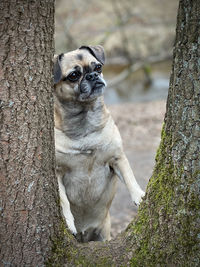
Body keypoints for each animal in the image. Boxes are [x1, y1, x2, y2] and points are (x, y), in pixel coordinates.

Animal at [52, 45, 144, 243]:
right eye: (74, 75)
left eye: (98, 67)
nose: (93, 76)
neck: (85, 120)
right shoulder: (57, 173)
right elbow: (63, 201)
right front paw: (68, 222)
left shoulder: (117, 159)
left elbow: (130, 177)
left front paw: (140, 196)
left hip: (103, 234)